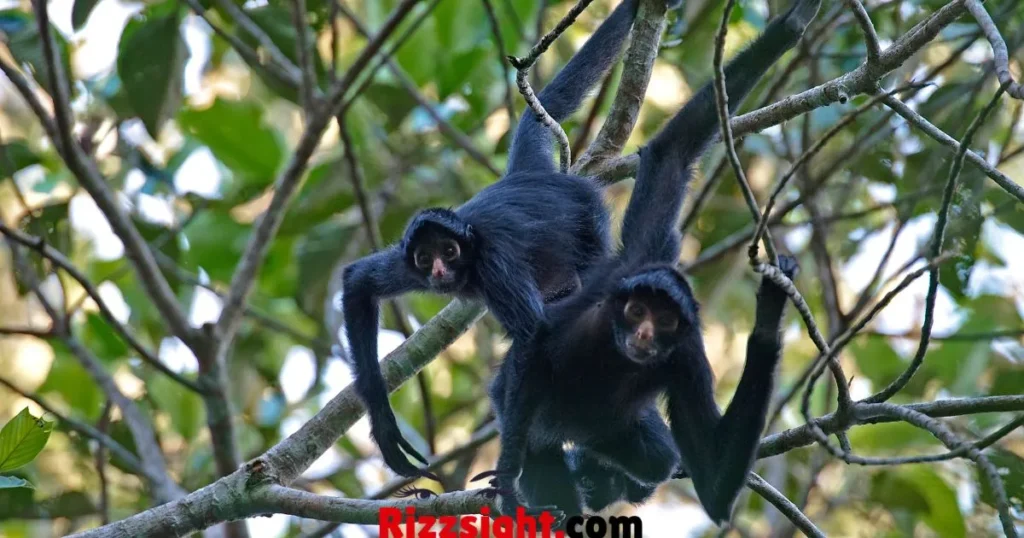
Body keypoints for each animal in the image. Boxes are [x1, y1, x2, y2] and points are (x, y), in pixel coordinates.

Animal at [338, 0, 647, 478]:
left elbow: (534, 336)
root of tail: (529, 176)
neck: (471, 247)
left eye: (449, 251)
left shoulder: (495, 264)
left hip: (588, 217)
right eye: (425, 258)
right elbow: (358, 281)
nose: (440, 270)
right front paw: (387, 432)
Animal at [483, 0, 819, 523]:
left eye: (663, 322)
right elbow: (670, 152)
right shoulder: (618, 280)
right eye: (637, 311)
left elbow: (714, 486)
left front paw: (771, 307)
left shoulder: (686, 355)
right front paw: (792, 25)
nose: (642, 334)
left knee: (656, 457)